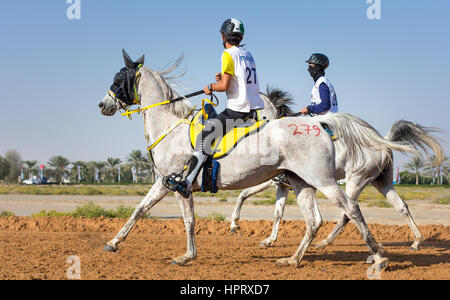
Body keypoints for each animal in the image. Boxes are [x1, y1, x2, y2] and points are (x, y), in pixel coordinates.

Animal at [96, 51, 416, 268]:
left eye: (118, 78)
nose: (102, 104)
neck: (170, 127)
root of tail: (320, 124)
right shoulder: (167, 183)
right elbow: (146, 211)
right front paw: (115, 243)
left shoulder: (174, 184)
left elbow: (179, 218)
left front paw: (185, 255)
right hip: (305, 182)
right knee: (318, 220)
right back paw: (294, 259)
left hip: (330, 181)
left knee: (350, 210)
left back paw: (377, 255)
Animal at [230, 87, 444, 251]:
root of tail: (382, 142)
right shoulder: (282, 185)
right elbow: (277, 212)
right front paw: (269, 240)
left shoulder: (270, 182)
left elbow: (243, 195)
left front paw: (234, 225)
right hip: (381, 181)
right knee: (401, 206)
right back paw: (416, 241)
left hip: (355, 181)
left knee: (347, 212)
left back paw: (325, 241)